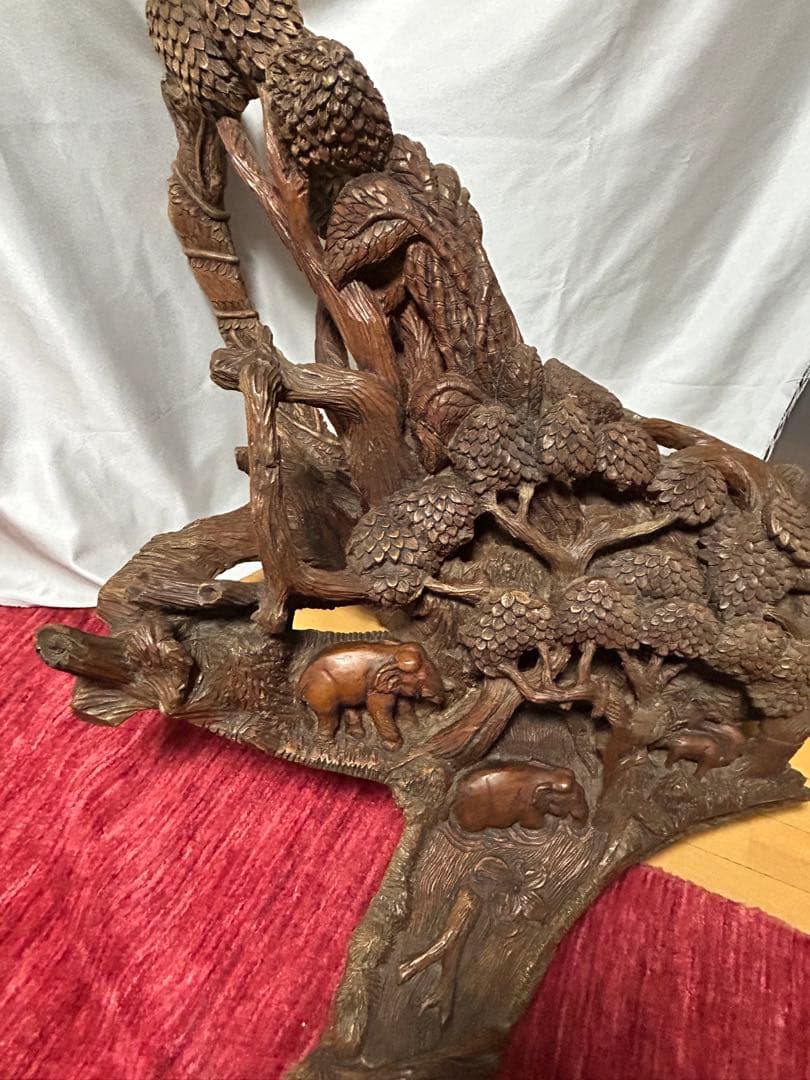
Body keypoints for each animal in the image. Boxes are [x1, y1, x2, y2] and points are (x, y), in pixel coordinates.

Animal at [297, 640, 445, 749]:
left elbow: (404, 704)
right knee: (329, 715)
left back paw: (356, 735)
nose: (442, 703)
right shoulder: (376, 687)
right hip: (322, 690)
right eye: (422, 677)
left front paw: (413, 729)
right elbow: (379, 709)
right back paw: (327, 746)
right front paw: (392, 746)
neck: (393, 652)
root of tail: (301, 680)